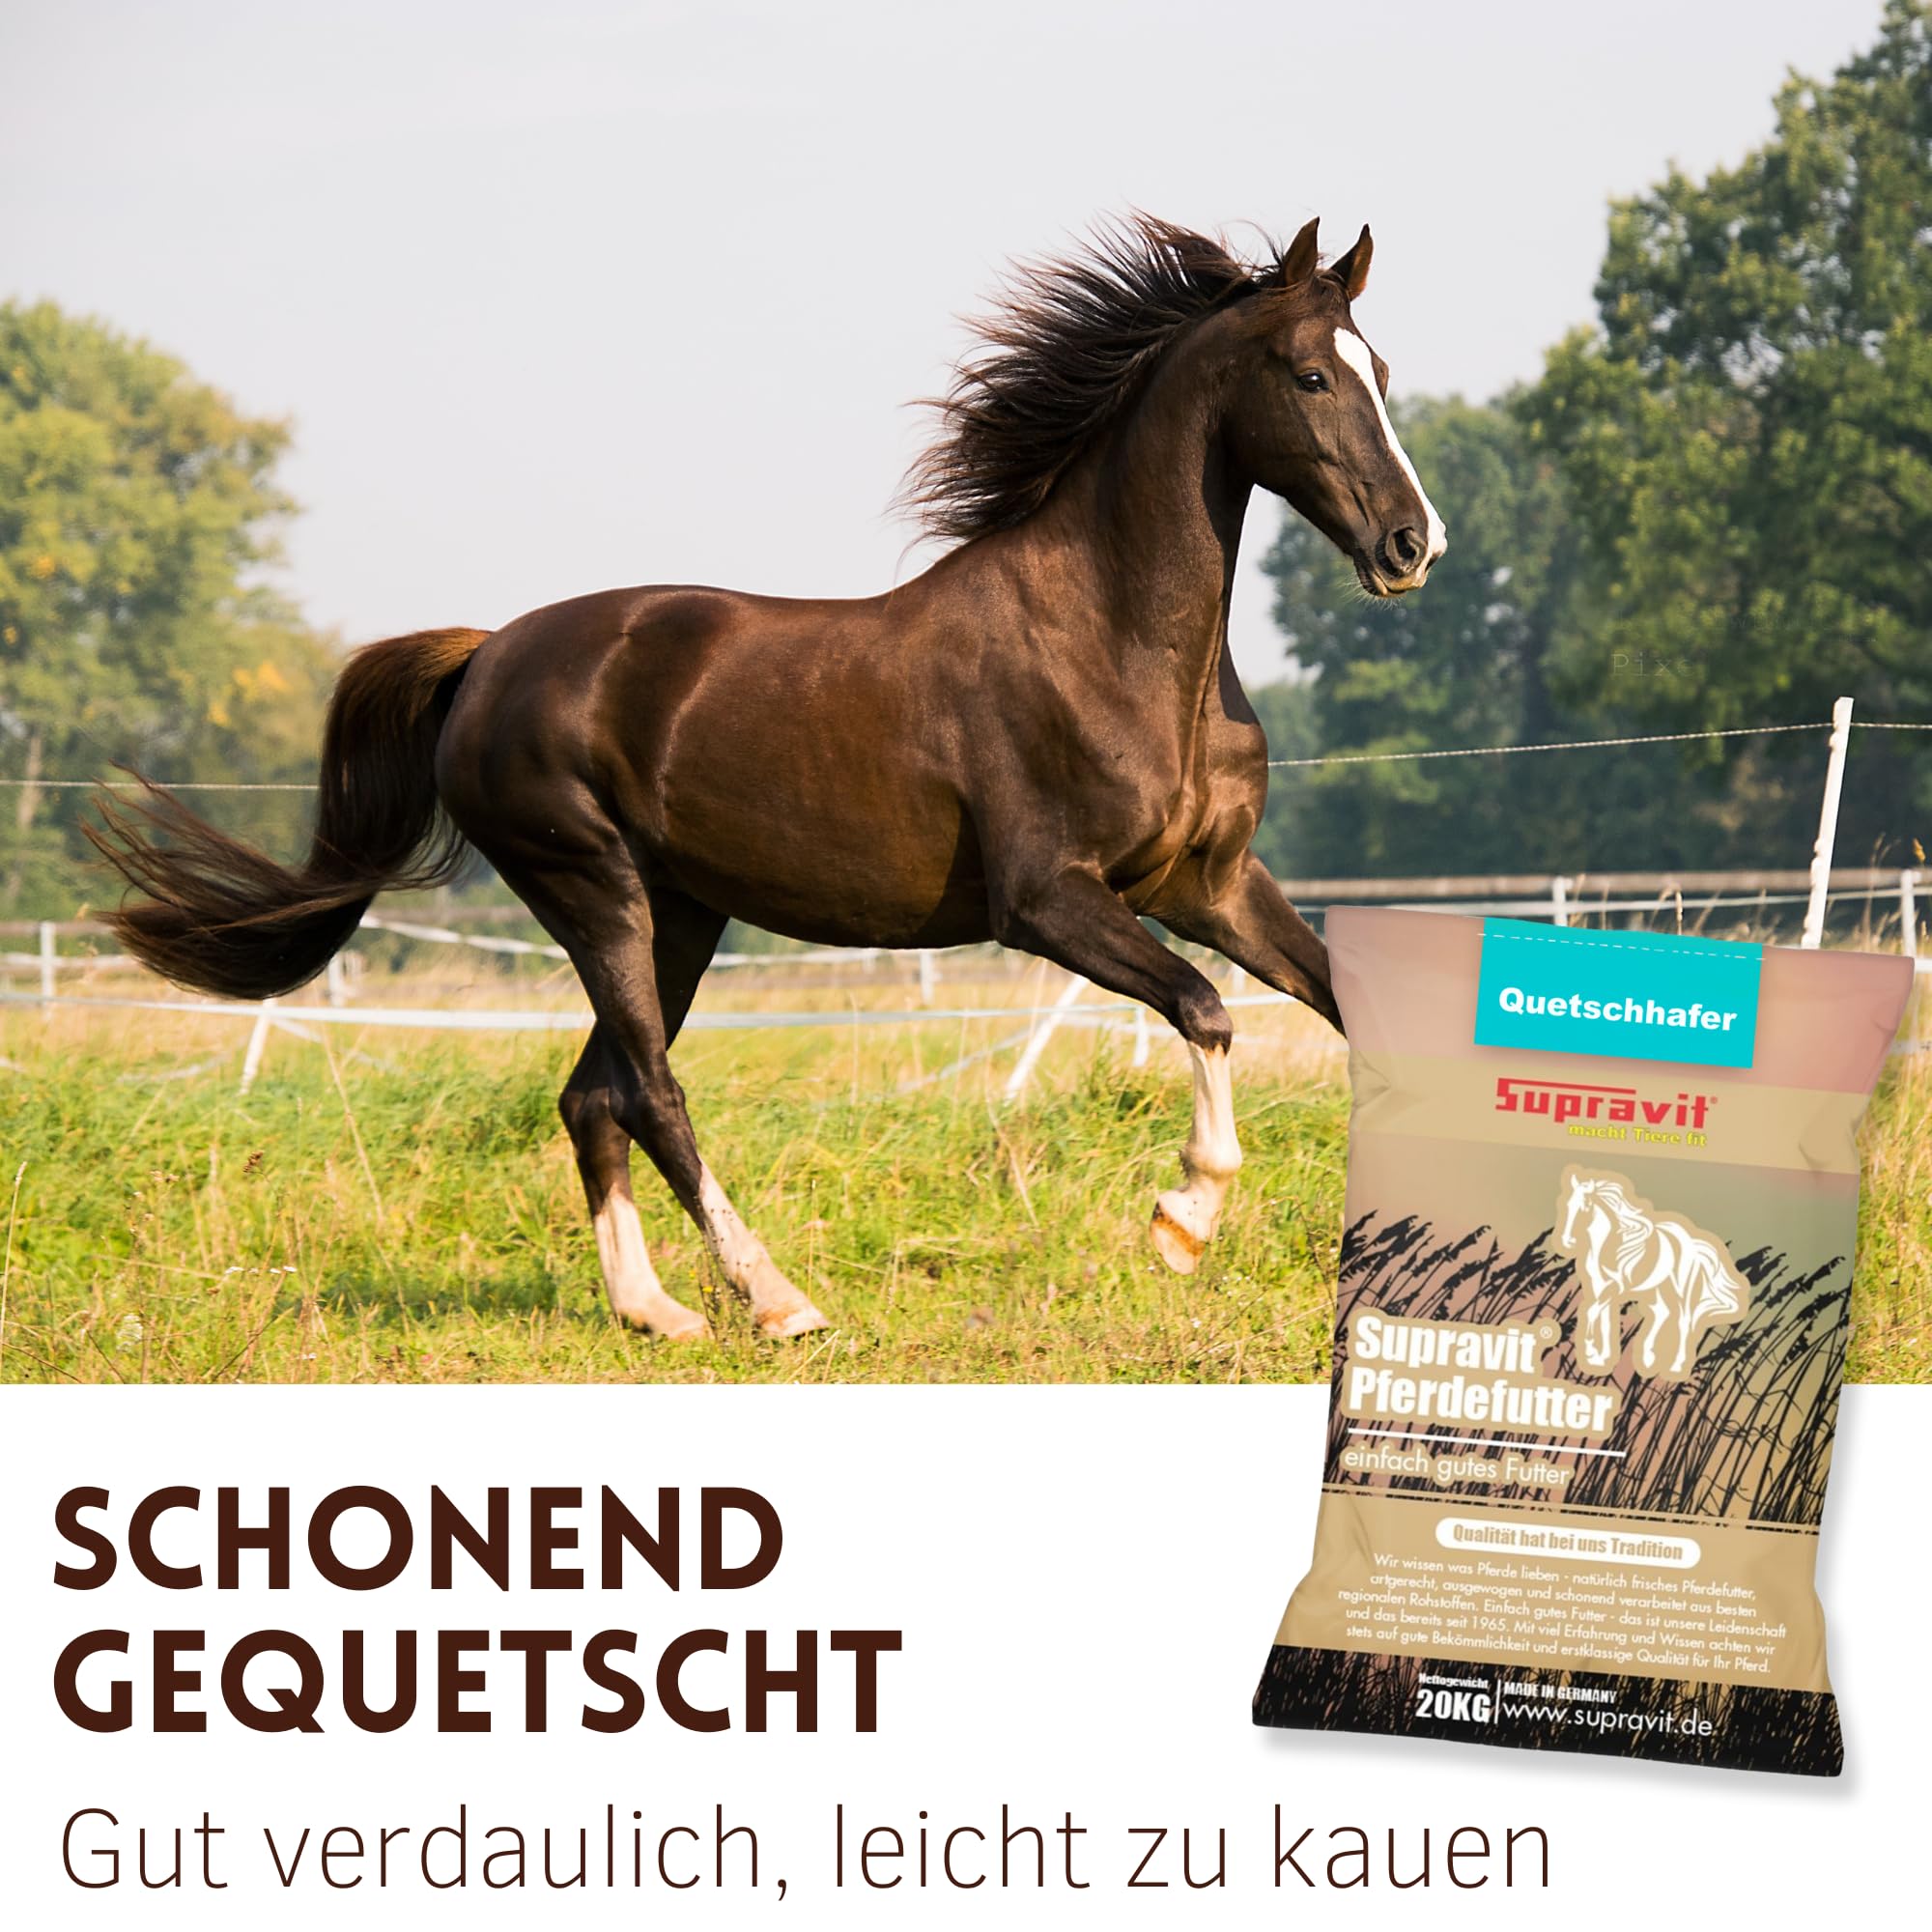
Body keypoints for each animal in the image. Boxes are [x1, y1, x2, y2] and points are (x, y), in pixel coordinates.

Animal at [88, 214, 1445, 1341]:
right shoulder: (1047, 901)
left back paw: (654, 1311)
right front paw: (1181, 1221)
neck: (1111, 639)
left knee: (590, 1096)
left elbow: (1349, 1011)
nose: (1409, 545)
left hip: (679, 914)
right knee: (650, 1092)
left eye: (1382, 372)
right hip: (593, 891)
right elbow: (1205, 1009)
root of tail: (486, 657)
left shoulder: (1207, 883)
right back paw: (776, 1299)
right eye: (1310, 374)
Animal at [1556, 1167, 1747, 1380]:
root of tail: (1695, 1245)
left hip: (1681, 1293)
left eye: (1585, 1207)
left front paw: (1590, 1352)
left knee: (1684, 1322)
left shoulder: (1614, 1287)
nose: (1567, 1242)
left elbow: (1591, 1311)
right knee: (1661, 1312)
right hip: (1659, 1289)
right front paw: (1600, 1358)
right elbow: (1603, 1318)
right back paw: (1648, 1359)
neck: (1608, 1244)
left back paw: (1675, 1367)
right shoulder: (1599, 1285)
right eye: (1567, 1204)